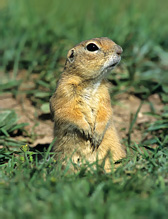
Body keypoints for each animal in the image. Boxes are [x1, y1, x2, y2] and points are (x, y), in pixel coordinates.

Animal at [50, 37, 126, 171]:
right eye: (92, 47)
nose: (120, 50)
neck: (90, 82)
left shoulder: (105, 96)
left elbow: (106, 112)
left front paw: (96, 136)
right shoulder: (64, 92)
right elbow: (66, 112)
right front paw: (86, 130)